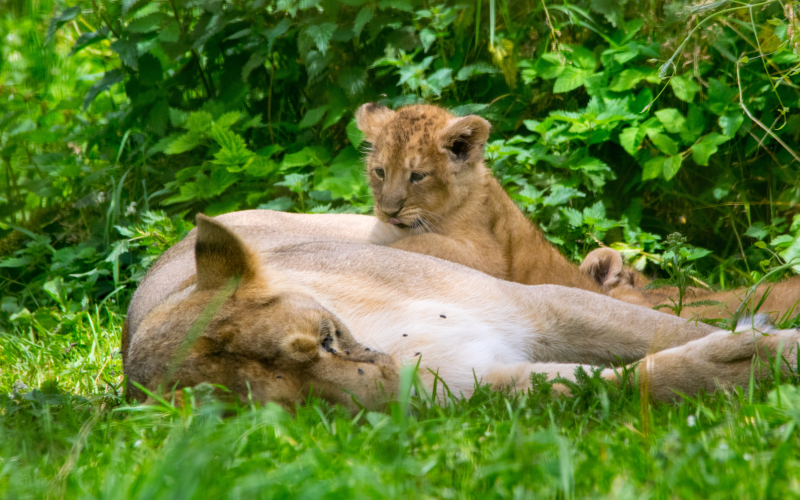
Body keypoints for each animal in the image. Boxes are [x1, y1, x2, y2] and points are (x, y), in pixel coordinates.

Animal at [124, 210, 800, 410]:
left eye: (325, 337)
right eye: (298, 408)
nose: (388, 384)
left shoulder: (539, 305)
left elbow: (669, 327)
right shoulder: (486, 382)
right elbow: (633, 381)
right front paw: (752, 363)